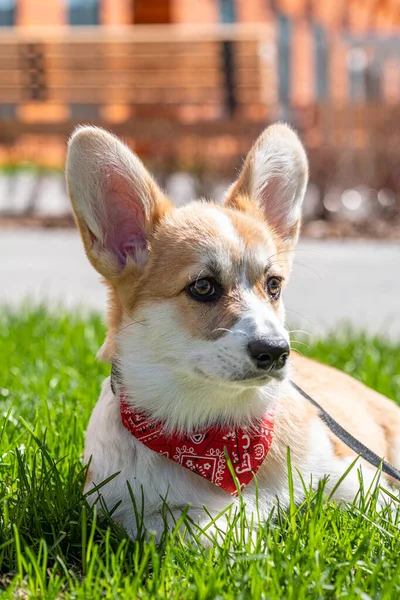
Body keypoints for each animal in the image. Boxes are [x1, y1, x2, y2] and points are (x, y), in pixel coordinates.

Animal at [65, 124, 400, 540]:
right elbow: (199, 529)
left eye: (273, 285)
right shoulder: (130, 511)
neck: (218, 430)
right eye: (203, 287)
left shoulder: (350, 475)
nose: (276, 352)